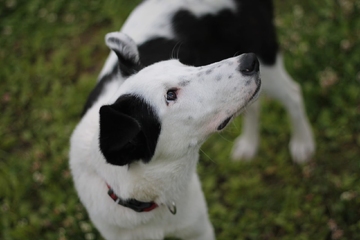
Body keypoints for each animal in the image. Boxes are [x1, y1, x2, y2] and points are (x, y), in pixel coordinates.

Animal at [69, 0, 314, 239]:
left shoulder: (199, 230)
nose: (249, 60)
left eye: (183, 64)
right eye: (170, 95)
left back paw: (302, 143)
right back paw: (249, 145)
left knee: (293, 94)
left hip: (267, 60)